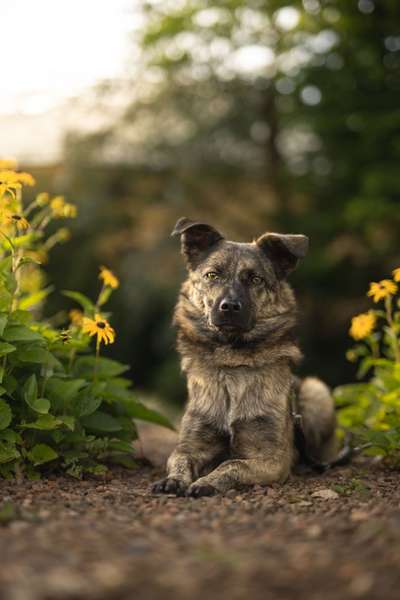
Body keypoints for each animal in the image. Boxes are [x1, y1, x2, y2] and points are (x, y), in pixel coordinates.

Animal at [152, 218, 338, 500]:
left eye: (255, 279)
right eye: (212, 275)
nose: (229, 306)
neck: (232, 363)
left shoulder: (272, 459)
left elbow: (233, 463)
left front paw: (208, 481)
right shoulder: (191, 444)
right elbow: (179, 459)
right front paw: (173, 479)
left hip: (317, 392)